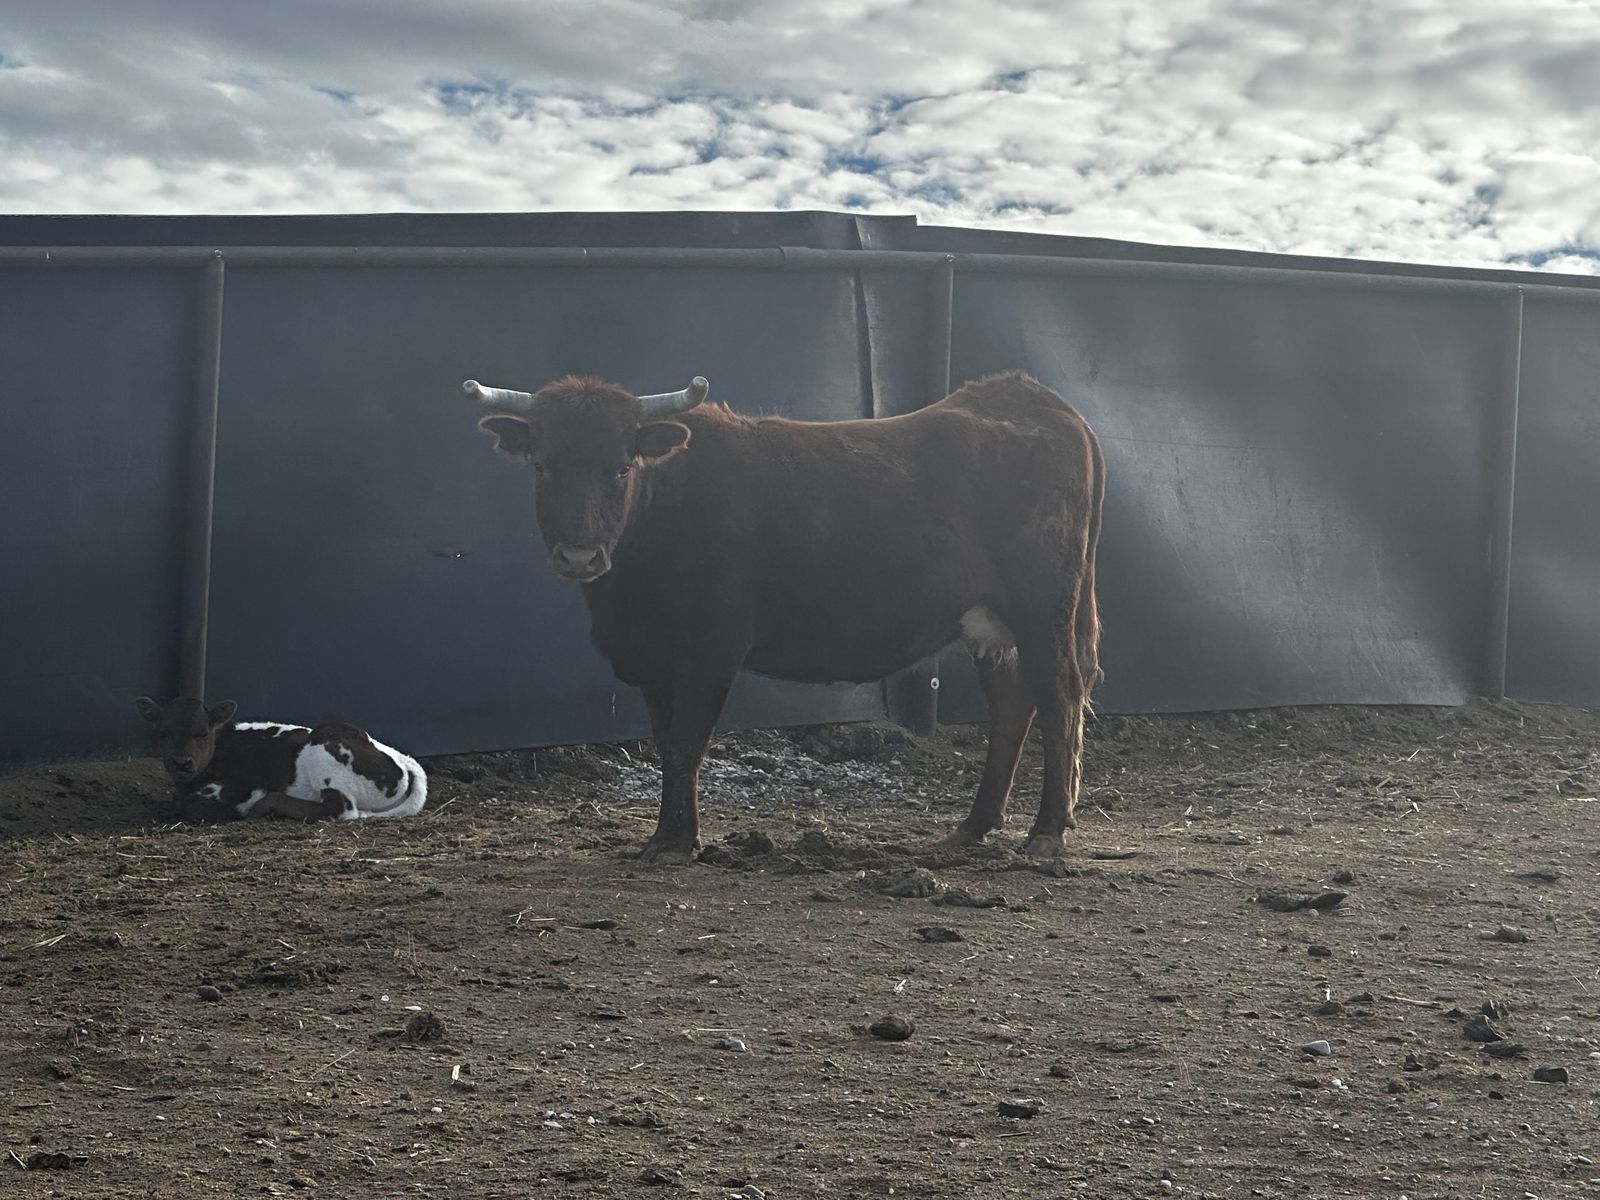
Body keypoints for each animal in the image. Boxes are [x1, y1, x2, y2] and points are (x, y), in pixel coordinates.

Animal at [135, 696, 428, 823]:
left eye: (203, 733)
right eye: (163, 732)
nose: (181, 762)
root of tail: (405, 762)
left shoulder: (245, 785)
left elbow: (195, 804)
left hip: (327, 742)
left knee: (340, 808)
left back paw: (268, 805)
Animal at [462, 369, 1104, 865]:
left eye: (621, 467)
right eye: (543, 466)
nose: (578, 556)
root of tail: (1031, 398)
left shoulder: (710, 650)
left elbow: (687, 744)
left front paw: (677, 843)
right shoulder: (655, 662)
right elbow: (666, 743)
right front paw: (665, 836)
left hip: (1044, 610)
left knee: (1059, 697)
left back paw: (1046, 834)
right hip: (994, 624)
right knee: (1012, 704)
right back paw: (972, 827)